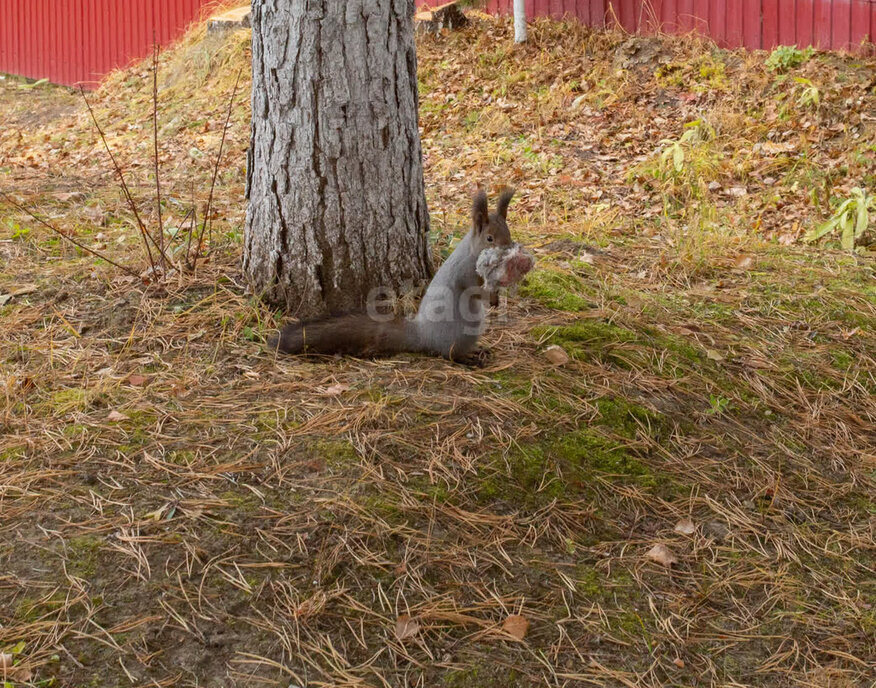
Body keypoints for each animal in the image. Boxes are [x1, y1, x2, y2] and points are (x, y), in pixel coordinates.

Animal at [270, 185, 516, 362]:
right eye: (490, 238)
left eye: (508, 231)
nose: (509, 248)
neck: (473, 252)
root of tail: (421, 334)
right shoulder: (464, 271)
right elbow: (472, 289)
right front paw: (491, 297)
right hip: (457, 333)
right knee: (448, 355)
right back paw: (469, 358)